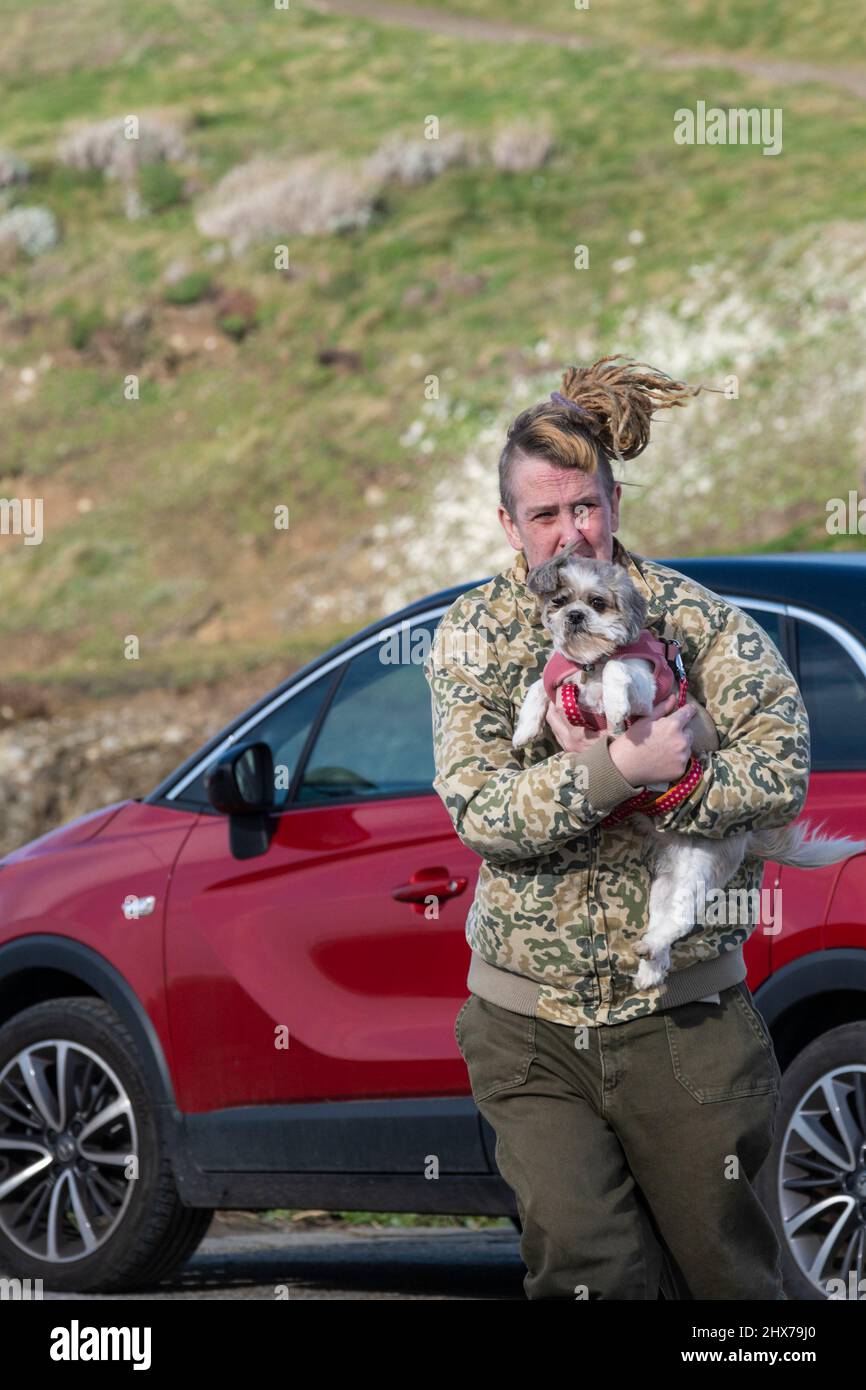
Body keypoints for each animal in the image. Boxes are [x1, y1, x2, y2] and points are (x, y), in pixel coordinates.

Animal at [511, 539, 861, 989]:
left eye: (597, 602)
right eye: (559, 600)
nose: (574, 615)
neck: (588, 665)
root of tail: (746, 835)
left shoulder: (646, 687)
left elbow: (619, 668)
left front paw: (614, 706)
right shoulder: (561, 677)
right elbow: (540, 685)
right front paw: (525, 729)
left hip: (698, 870)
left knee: (681, 918)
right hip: (666, 881)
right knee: (666, 922)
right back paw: (650, 964)